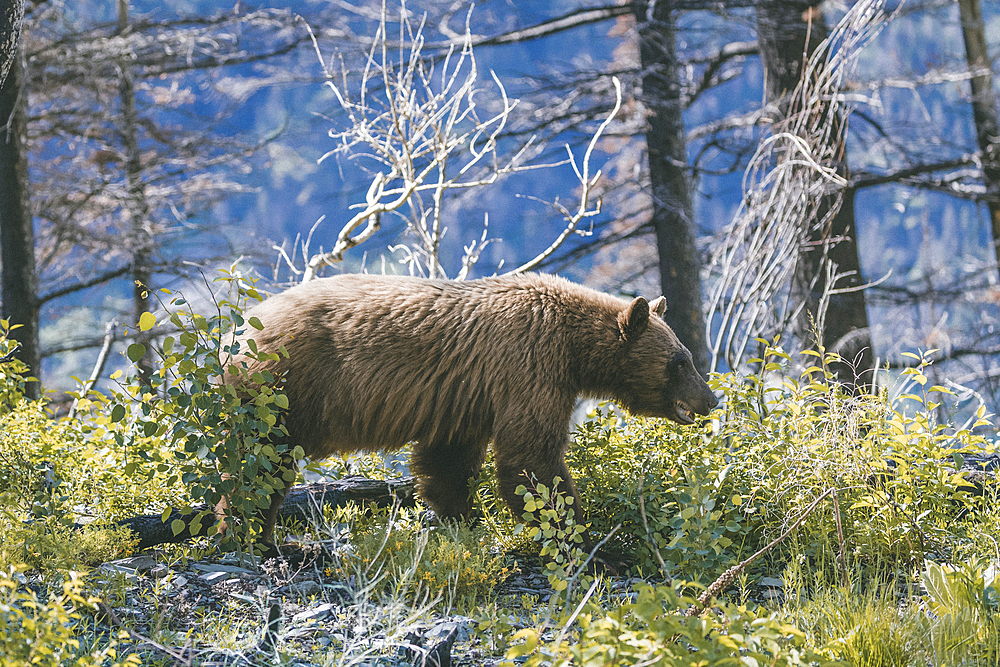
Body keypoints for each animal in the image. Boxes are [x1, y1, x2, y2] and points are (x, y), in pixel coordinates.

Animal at [225, 272, 720, 548]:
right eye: (681, 361)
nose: (710, 399)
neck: (575, 348)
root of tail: (240, 327)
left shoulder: (464, 395)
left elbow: (449, 461)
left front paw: (460, 519)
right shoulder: (529, 364)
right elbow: (531, 457)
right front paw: (581, 536)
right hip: (283, 388)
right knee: (261, 462)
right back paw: (259, 537)